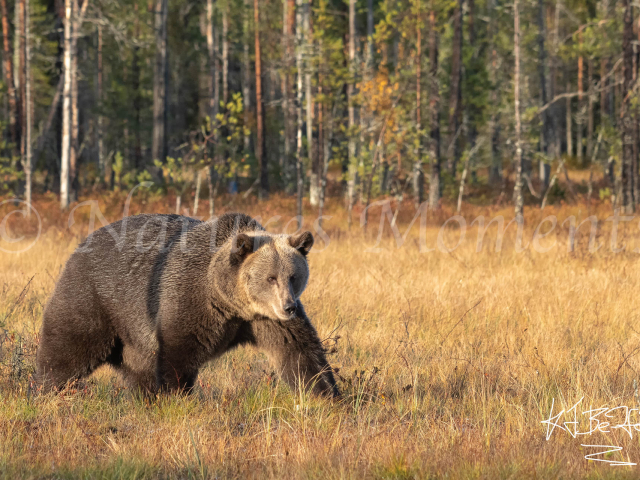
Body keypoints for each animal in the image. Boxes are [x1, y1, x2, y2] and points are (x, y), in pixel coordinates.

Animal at [35, 214, 340, 398]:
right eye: (270, 277)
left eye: (293, 276)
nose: (288, 307)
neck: (229, 301)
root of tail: (81, 243)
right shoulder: (189, 300)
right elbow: (179, 354)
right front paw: (176, 396)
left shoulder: (265, 319)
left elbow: (299, 354)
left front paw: (328, 395)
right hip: (96, 297)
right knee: (68, 349)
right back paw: (46, 389)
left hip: (132, 336)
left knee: (137, 369)